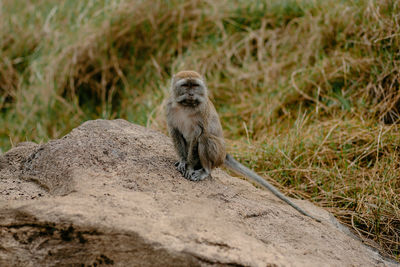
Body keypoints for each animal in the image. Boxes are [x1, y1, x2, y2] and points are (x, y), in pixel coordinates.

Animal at [166, 70, 322, 223]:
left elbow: (198, 135)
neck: (186, 107)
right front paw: (183, 161)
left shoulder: (201, 113)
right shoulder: (170, 108)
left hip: (218, 154)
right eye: (185, 85)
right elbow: (175, 131)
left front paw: (190, 167)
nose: (191, 94)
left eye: (195, 85)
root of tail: (224, 155)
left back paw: (205, 170)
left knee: (206, 139)